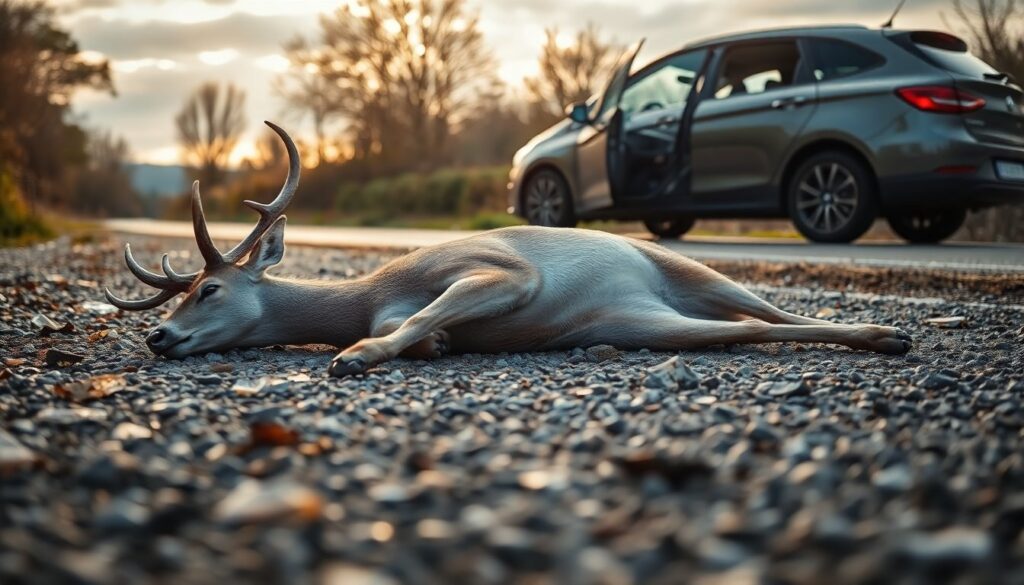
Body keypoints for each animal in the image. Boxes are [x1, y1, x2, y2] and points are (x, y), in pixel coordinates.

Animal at [105, 122, 912, 378]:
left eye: (208, 288)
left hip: (689, 266)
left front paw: (356, 356)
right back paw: (885, 336)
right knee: (746, 326)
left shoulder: (501, 271)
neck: (364, 296)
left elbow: (415, 318)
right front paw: (410, 346)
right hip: (641, 320)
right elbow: (421, 331)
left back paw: (891, 333)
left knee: (769, 309)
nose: (156, 334)